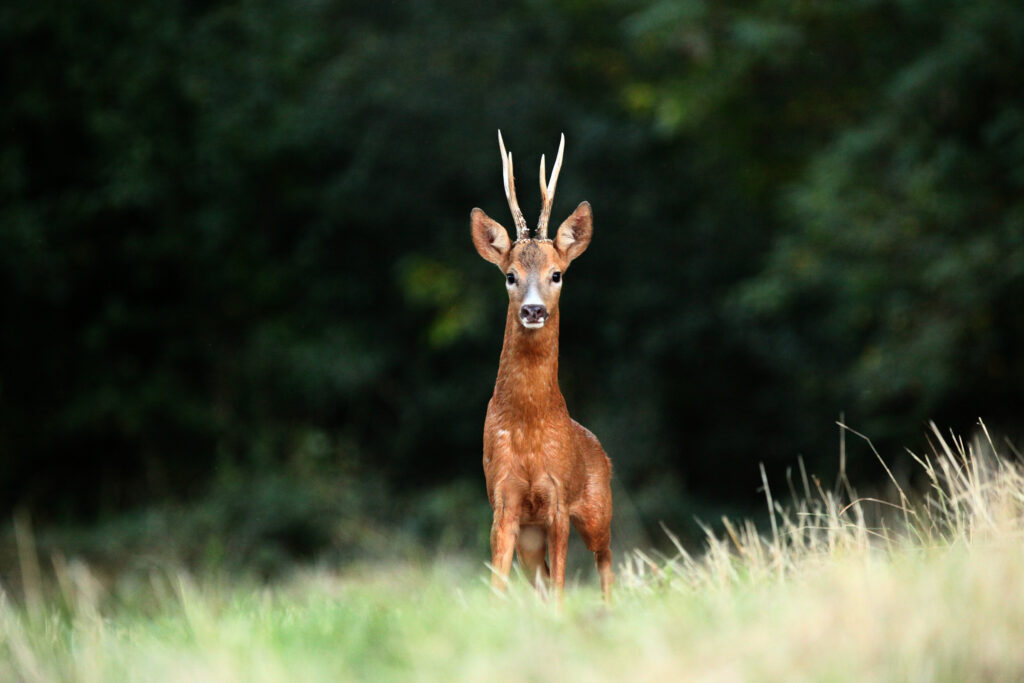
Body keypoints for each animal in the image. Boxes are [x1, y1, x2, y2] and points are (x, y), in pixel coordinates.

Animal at [471, 129, 614, 598]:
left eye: (557, 274)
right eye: (510, 275)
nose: (533, 310)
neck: (530, 425)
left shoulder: (556, 501)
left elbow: (563, 586)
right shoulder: (504, 500)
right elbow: (499, 584)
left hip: (598, 507)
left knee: (606, 560)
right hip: (531, 538)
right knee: (542, 578)